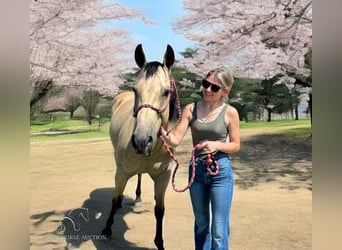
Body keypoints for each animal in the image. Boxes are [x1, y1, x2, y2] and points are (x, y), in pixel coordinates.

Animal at [102, 44, 179, 249]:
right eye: (135, 89)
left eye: (166, 91)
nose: (141, 141)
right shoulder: (121, 172)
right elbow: (113, 199)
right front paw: (107, 228)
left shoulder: (164, 176)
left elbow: (160, 210)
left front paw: (159, 242)